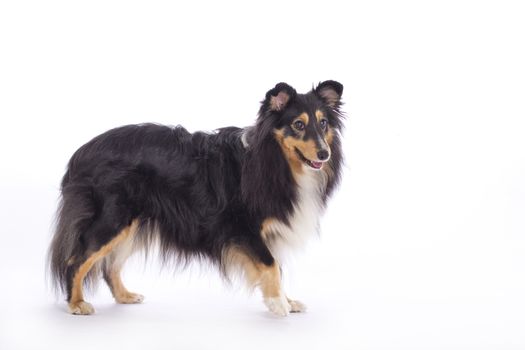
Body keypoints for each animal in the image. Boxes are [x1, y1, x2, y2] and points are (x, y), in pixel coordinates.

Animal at [49, 80, 344, 316]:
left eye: (323, 123)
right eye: (298, 125)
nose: (324, 153)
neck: (274, 157)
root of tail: (80, 153)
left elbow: (277, 268)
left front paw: (287, 300)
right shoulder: (241, 227)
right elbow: (271, 265)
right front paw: (278, 304)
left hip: (131, 223)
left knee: (109, 266)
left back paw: (125, 296)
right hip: (112, 217)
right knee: (76, 260)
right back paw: (76, 303)